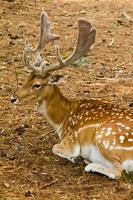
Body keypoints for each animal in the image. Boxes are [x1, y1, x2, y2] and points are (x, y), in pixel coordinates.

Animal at [10, 10, 133, 180]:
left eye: (37, 84)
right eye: (26, 78)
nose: (13, 98)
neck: (63, 120)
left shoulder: (71, 140)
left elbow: (55, 147)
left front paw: (76, 158)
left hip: (106, 138)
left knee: (118, 171)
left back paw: (88, 164)